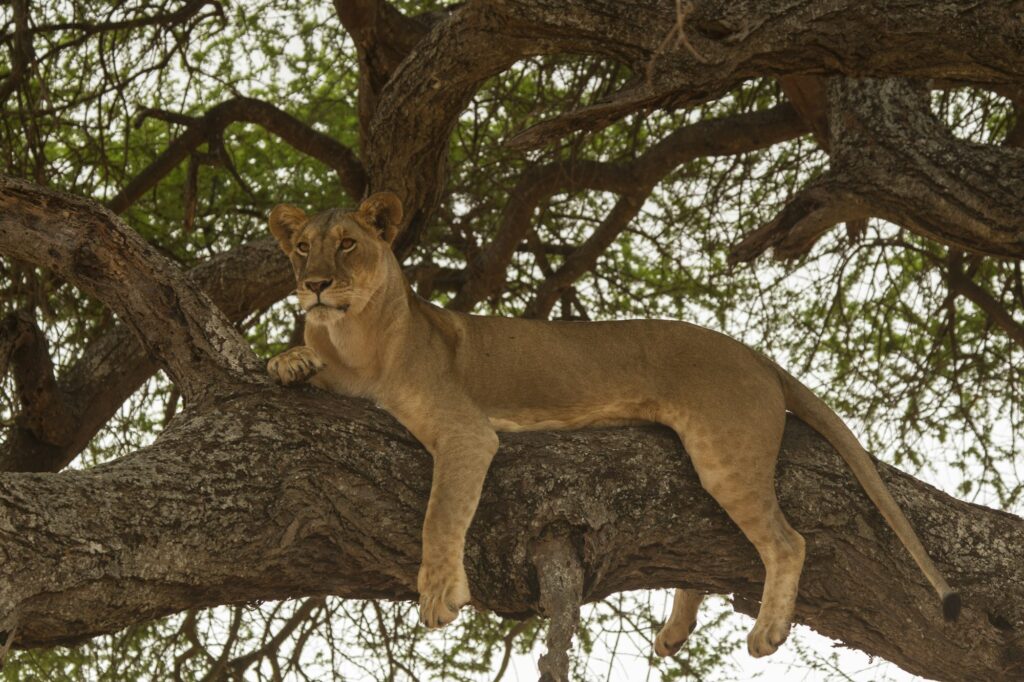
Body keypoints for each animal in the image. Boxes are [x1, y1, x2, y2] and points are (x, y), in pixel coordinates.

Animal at [266, 192, 959, 658]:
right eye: (302, 248)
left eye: (347, 243)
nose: (314, 284)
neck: (355, 340)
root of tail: (753, 353)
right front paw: (288, 360)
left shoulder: (466, 431)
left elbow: (441, 514)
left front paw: (438, 594)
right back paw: (676, 632)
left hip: (724, 454)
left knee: (788, 542)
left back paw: (766, 631)